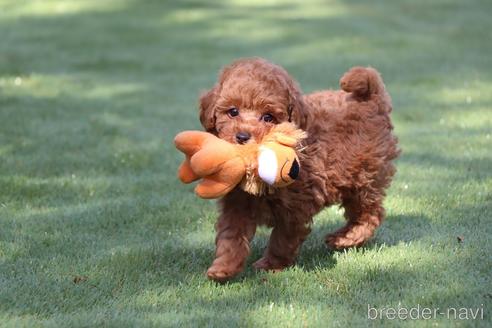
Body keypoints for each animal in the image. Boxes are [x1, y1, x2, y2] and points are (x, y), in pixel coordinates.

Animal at [197, 57, 400, 280]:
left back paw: (346, 238)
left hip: (363, 176)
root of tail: (371, 98)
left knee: (370, 213)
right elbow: (231, 235)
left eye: (268, 117)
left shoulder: (297, 204)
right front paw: (222, 268)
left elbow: (283, 238)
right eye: (233, 111)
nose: (242, 137)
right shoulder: (238, 203)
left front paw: (271, 265)